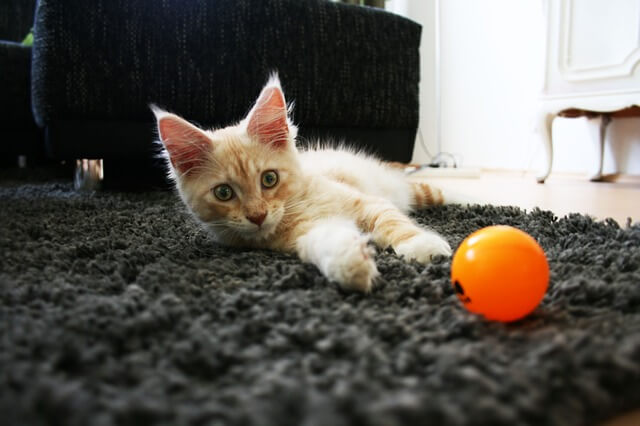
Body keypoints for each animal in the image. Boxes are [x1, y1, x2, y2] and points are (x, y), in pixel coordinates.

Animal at [154, 74, 452, 292]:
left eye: (269, 179)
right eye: (223, 193)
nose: (257, 216)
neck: (299, 204)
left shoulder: (366, 202)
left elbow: (394, 222)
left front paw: (423, 247)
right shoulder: (309, 233)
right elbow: (328, 242)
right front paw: (351, 264)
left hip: (397, 187)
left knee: (434, 191)